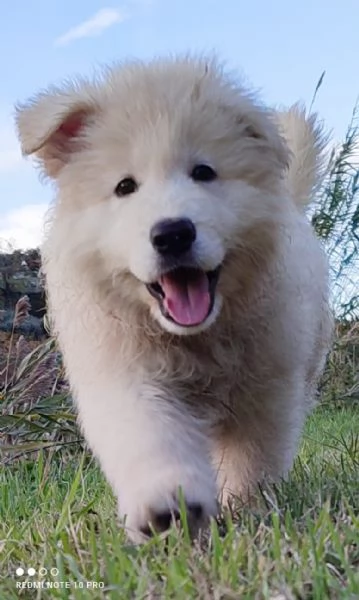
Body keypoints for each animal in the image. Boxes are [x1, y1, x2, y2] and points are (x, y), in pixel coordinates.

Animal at [16, 57, 332, 544]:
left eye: (203, 172)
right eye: (125, 186)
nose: (172, 234)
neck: (195, 339)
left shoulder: (268, 382)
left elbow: (253, 453)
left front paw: (245, 506)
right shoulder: (124, 371)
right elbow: (150, 435)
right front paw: (167, 507)